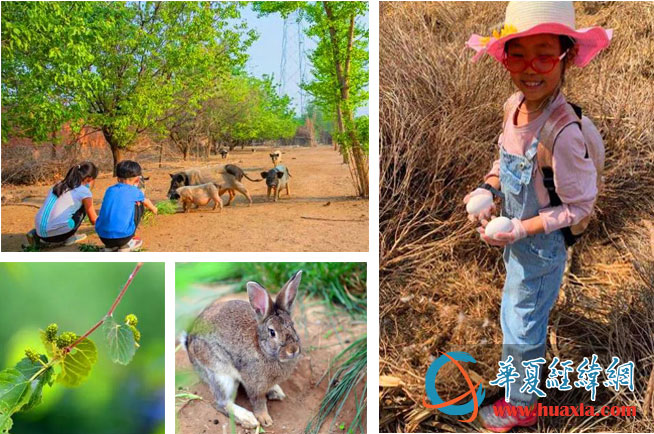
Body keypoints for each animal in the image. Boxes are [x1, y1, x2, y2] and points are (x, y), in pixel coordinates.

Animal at [184, 270, 304, 428]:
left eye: (292, 325)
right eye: (272, 332)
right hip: (220, 373)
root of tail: (188, 344)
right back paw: (248, 418)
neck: (263, 349)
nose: (293, 350)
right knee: (222, 403)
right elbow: (258, 401)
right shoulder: (254, 384)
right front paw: (265, 419)